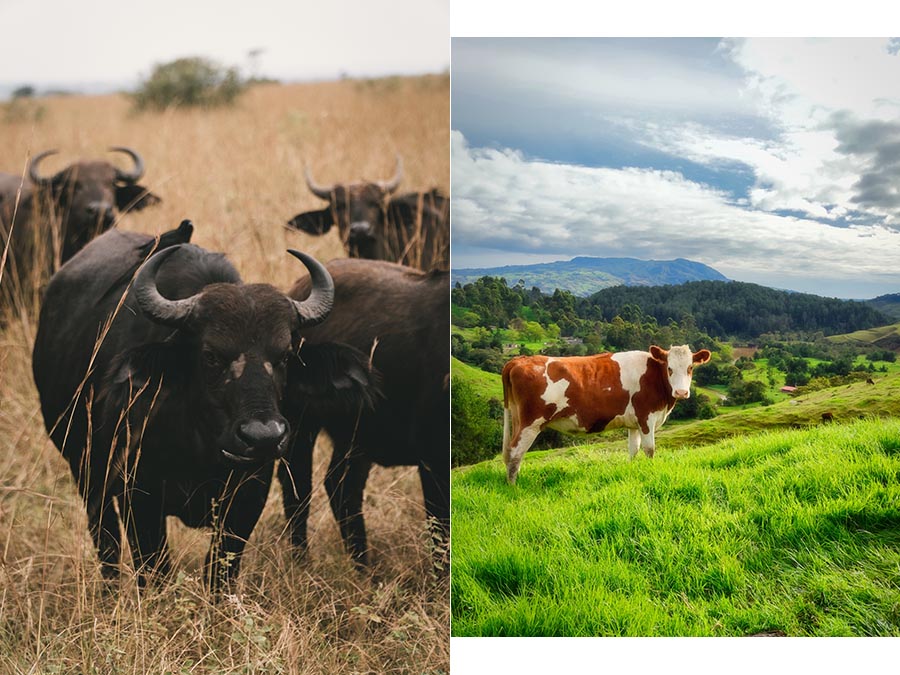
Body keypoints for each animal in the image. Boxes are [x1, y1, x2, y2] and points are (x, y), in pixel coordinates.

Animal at [30, 224, 370, 588]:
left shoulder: (248, 497)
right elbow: (154, 569)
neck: (200, 442)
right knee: (105, 538)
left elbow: (220, 572)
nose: (263, 437)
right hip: (85, 469)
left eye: (285, 355)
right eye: (210, 355)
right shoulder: (137, 496)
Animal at [280, 258, 448, 572]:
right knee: (297, 488)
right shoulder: (432, 460)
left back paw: (363, 566)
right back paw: (303, 562)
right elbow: (441, 530)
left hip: (356, 436)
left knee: (341, 488)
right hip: (300, 425)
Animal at [500, 346, 712, 484]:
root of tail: (520, 360)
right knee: (515, 452)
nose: (681, 392)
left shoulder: (634, 423)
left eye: (690, 368)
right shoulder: (646, 417)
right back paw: (513, 486)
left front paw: (632, 470)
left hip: (517, 418)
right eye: (670, 368)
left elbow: (633, 450)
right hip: (530, 422)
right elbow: (649, 450)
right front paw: (651, 472)